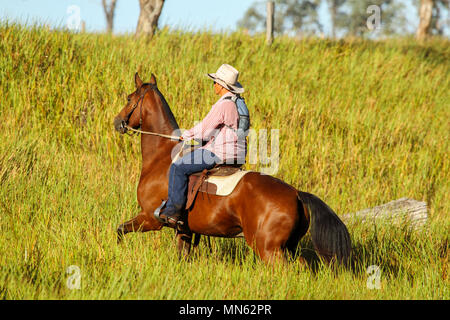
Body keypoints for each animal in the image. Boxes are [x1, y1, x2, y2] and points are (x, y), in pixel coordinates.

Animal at [112, 73, 352, 264]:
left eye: (129, 98)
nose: (117, 122)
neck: (162, 156)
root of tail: (296, 194)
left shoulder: (149, 218)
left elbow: (120, 230)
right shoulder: (185, 230)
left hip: (268, 249)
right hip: (288, 247)